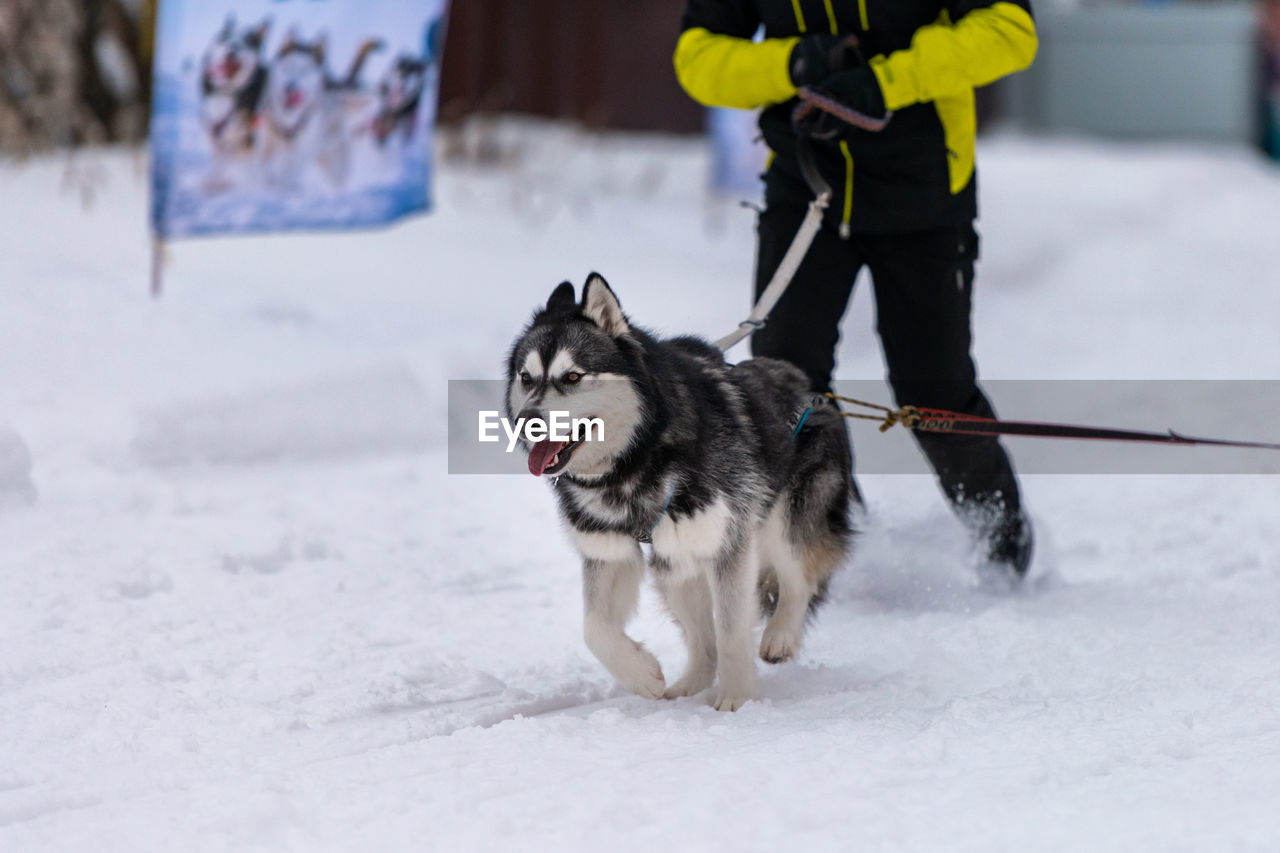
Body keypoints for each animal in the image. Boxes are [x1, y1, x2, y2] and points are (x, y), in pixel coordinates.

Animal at [198, 15, 271, 188]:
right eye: (226, 38)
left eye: (247, 41)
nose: (232, 49)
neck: (227, 92)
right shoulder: (219, 140)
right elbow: (218, 163)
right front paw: (211, 183)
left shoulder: (251, 140)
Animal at [256, 32, 381, 189]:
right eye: (288, 66)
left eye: (305, 70)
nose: (290, 87)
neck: (288, 124)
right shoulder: (266, 146)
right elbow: (263, 168)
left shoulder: (298, 156)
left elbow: (285, 175)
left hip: (335, 164)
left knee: (337, 184)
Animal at [504, 275, 855, 706]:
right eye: (526, 377)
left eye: (572, 377)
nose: (526, 420)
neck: (636, 462)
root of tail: (809, 387)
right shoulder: (606, 550)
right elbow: (594, 629)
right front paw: (640, 674)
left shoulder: (728, 542)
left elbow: (731, 630)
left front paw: (737, 699)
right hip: (674, 564)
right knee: (702, 640)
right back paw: (688, 687)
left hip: (781, 520)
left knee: (799, 577)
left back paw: (781, 636)